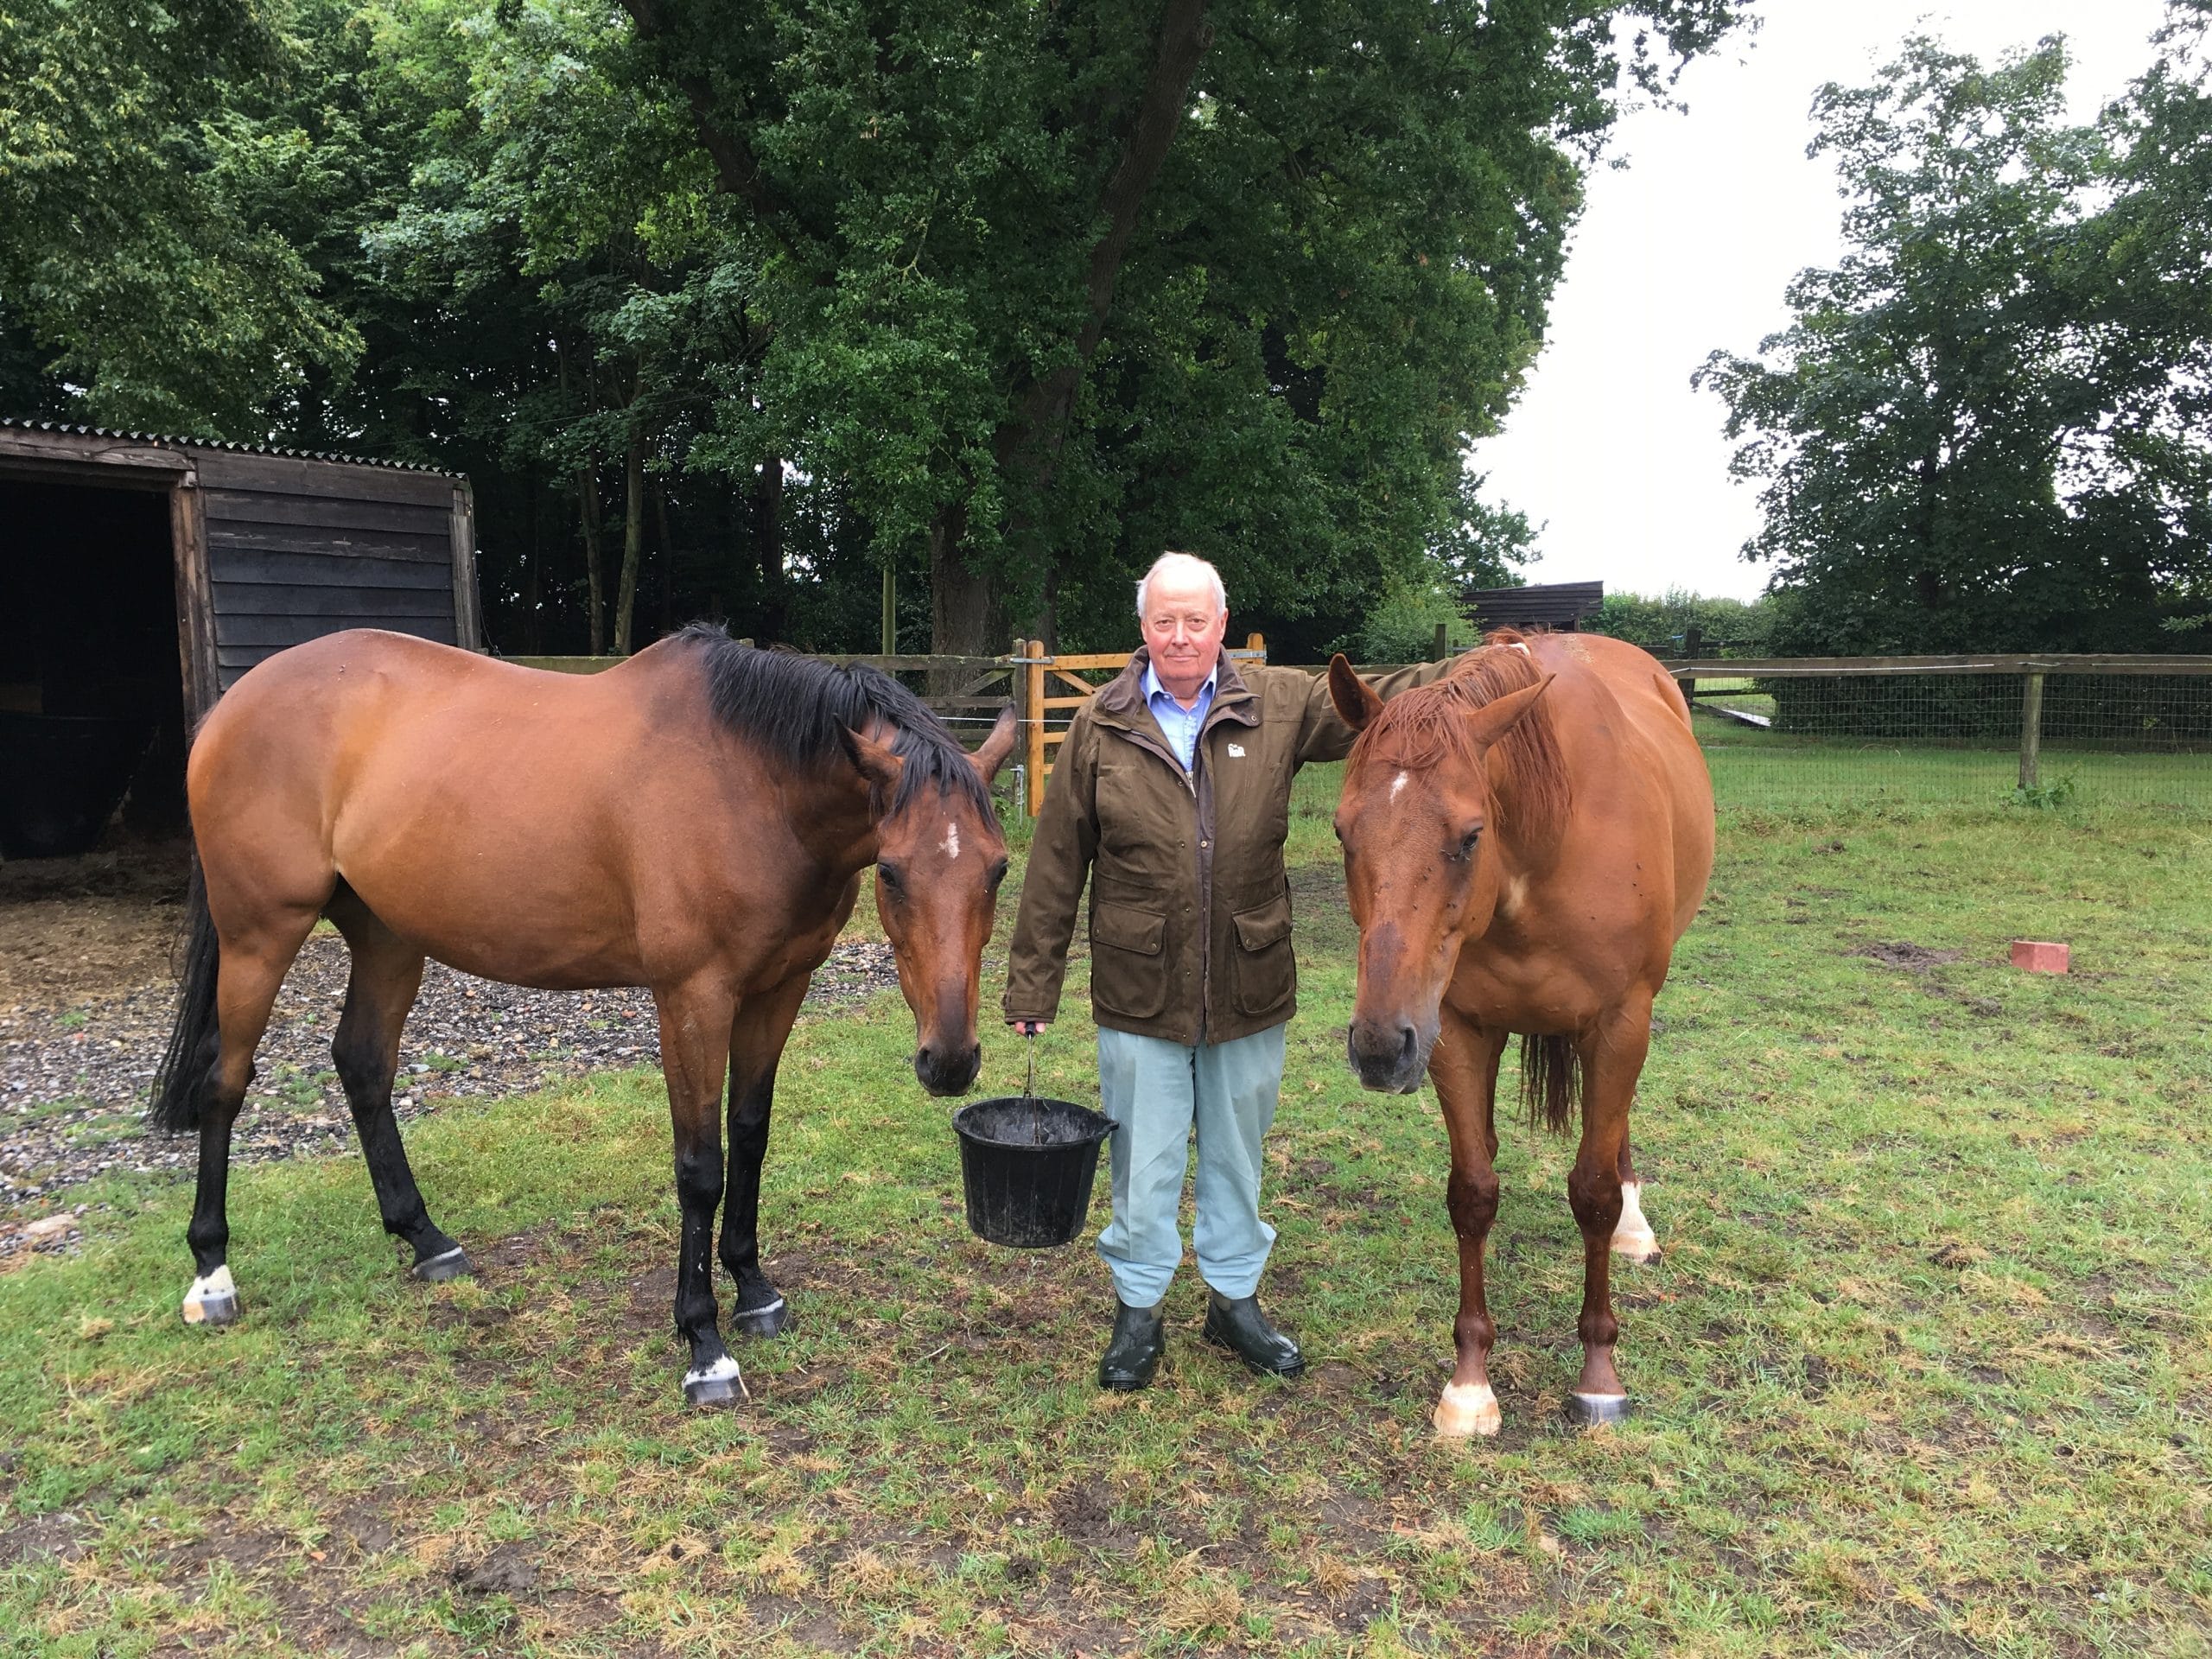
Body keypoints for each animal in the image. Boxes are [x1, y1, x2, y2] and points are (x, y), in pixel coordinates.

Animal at [148, 624, 1017, 1408]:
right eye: (894, 873)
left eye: (999, 870)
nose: (949, 1060)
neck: (749, 780)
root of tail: (233, 704)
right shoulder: (693, 998)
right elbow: (700, 1167)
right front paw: (704, 1346)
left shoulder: (780, 988)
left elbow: (751, 1136)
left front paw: (754, 1287)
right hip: (259, 935)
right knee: (225, 1083)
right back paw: (212, 1274)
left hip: (388, 937)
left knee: (362, 1064)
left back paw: (425, 1239)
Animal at [1326, 628, 1713, 1436]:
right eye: (1344, 831)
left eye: (1471, 835)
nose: (1378, 1048)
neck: (1546, 843)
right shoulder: (1453, 1031)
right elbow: (1473, 1191)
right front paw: (1469, 1385)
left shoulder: (1620, 1023)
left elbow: (1593, 1193)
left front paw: (1599, 1376)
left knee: (1614, 1143)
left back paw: (1635, 1227)